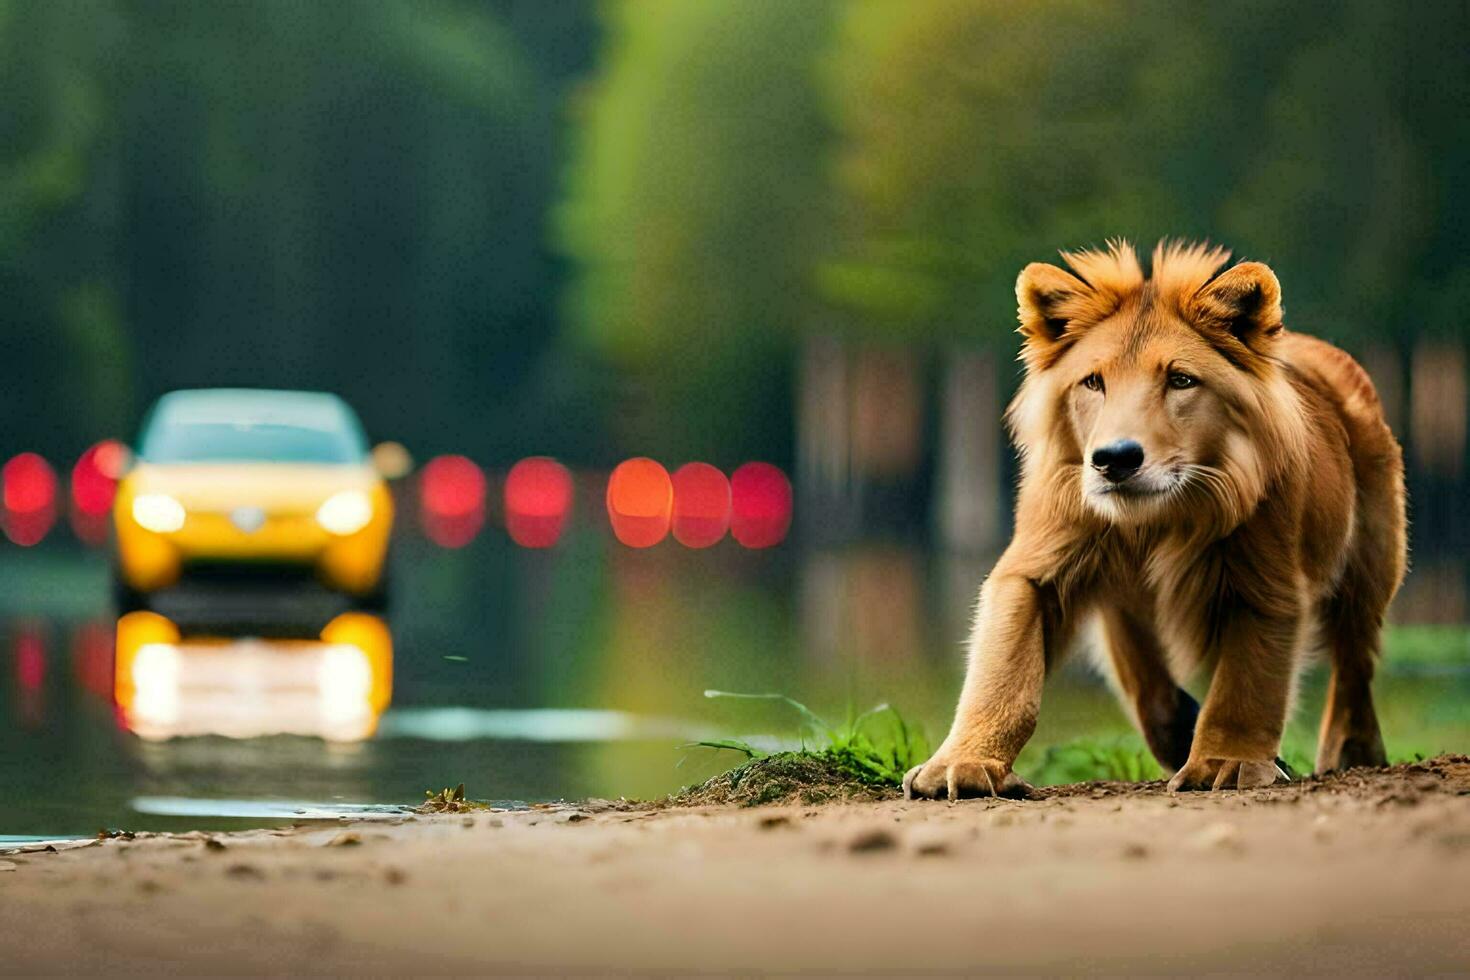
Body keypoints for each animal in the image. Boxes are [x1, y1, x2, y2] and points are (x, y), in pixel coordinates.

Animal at [899, 239, 1405, 799]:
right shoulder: (1037, 568)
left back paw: (1352, 752)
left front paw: (1222, 763)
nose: (1114, 459)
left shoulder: (1266, 583)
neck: (1157, 522)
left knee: (1355, 660)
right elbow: (1003, 671)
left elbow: (1244, 685)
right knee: (1148, 684)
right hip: (1123, 602)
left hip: (1371, 563)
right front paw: (963, 764)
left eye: (1181, 380)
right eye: (1093, 382)